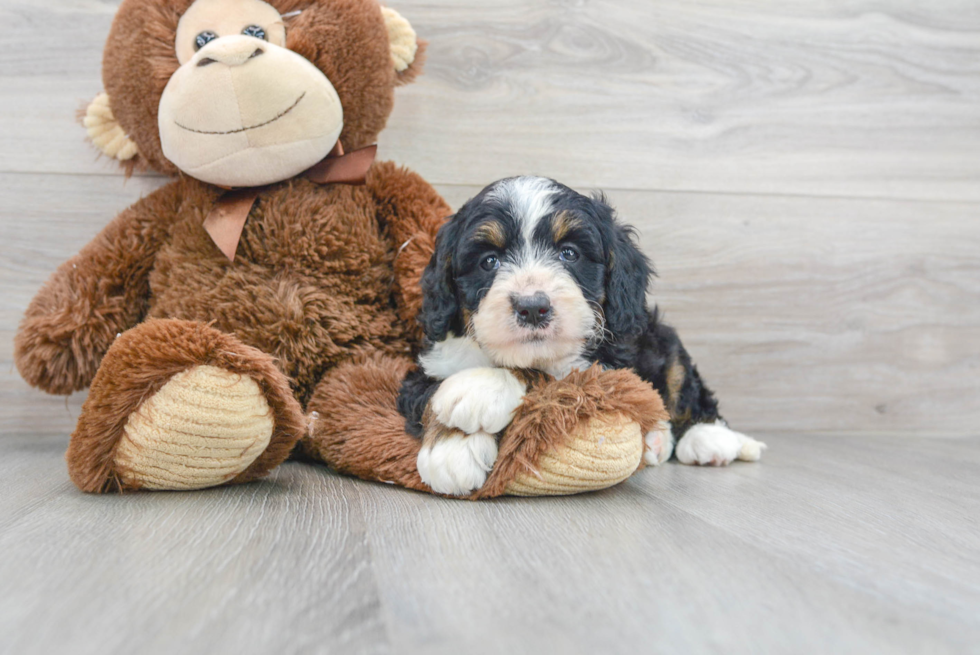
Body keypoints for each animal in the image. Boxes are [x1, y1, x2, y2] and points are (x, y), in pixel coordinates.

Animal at [398, 177, 764, 494]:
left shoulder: (602, 371)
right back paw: (658, 442)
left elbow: (550, 381)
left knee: (685, 383)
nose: (533, 307)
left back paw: (707, 438)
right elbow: (427, 391)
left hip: (661, 337)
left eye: (569, 254)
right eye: (489, 261)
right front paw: (452, 446)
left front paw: (479, 388)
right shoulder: (427, 366)